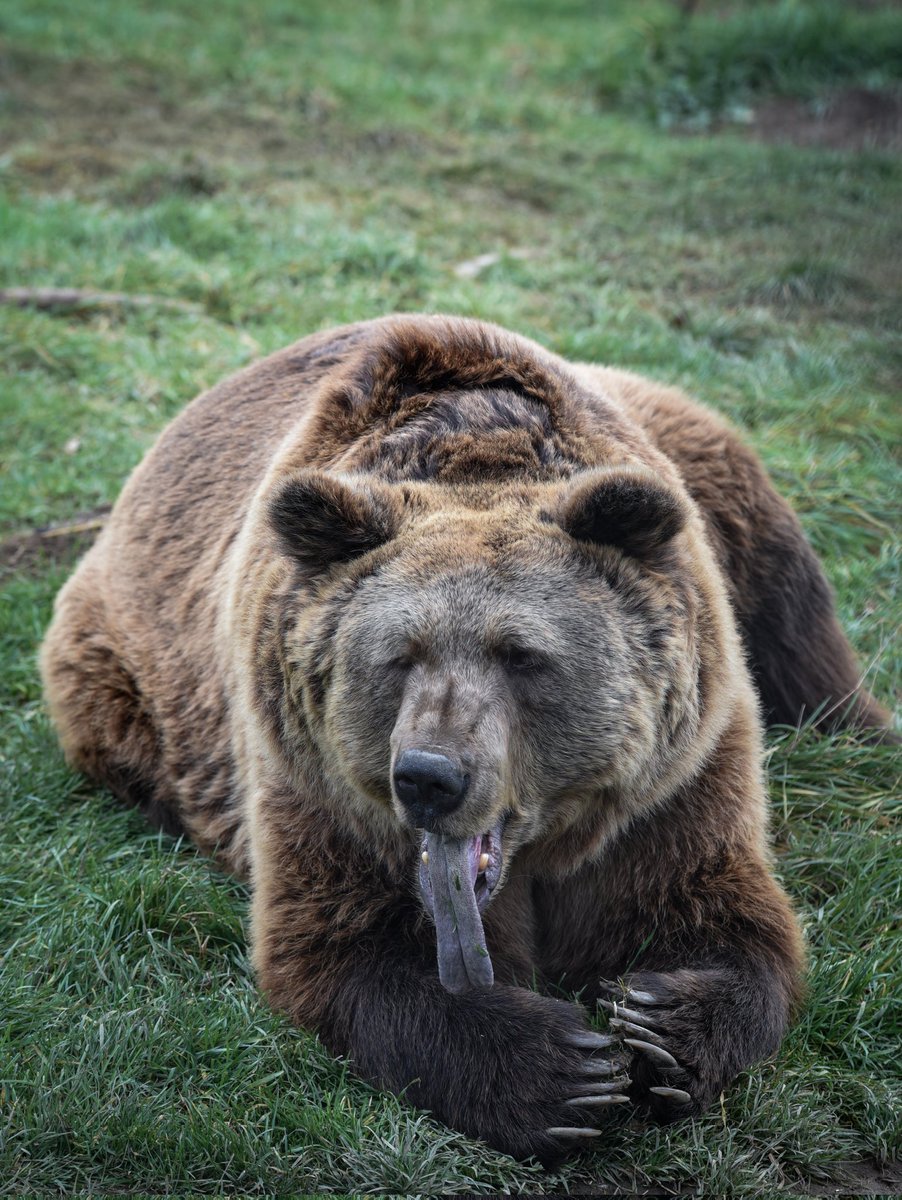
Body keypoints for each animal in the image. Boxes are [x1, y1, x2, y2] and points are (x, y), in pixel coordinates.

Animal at [40, 314, 892, 1164]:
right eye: (398, 654)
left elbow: (726, 919)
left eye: (521, 654)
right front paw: (563, 1070)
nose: (429, 777)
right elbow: (350, 953)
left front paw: (660, 1026)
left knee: (789, 601)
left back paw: (864, 727)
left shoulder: (672, 781)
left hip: (699, 459)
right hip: (116, 672)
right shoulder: (317, 788)